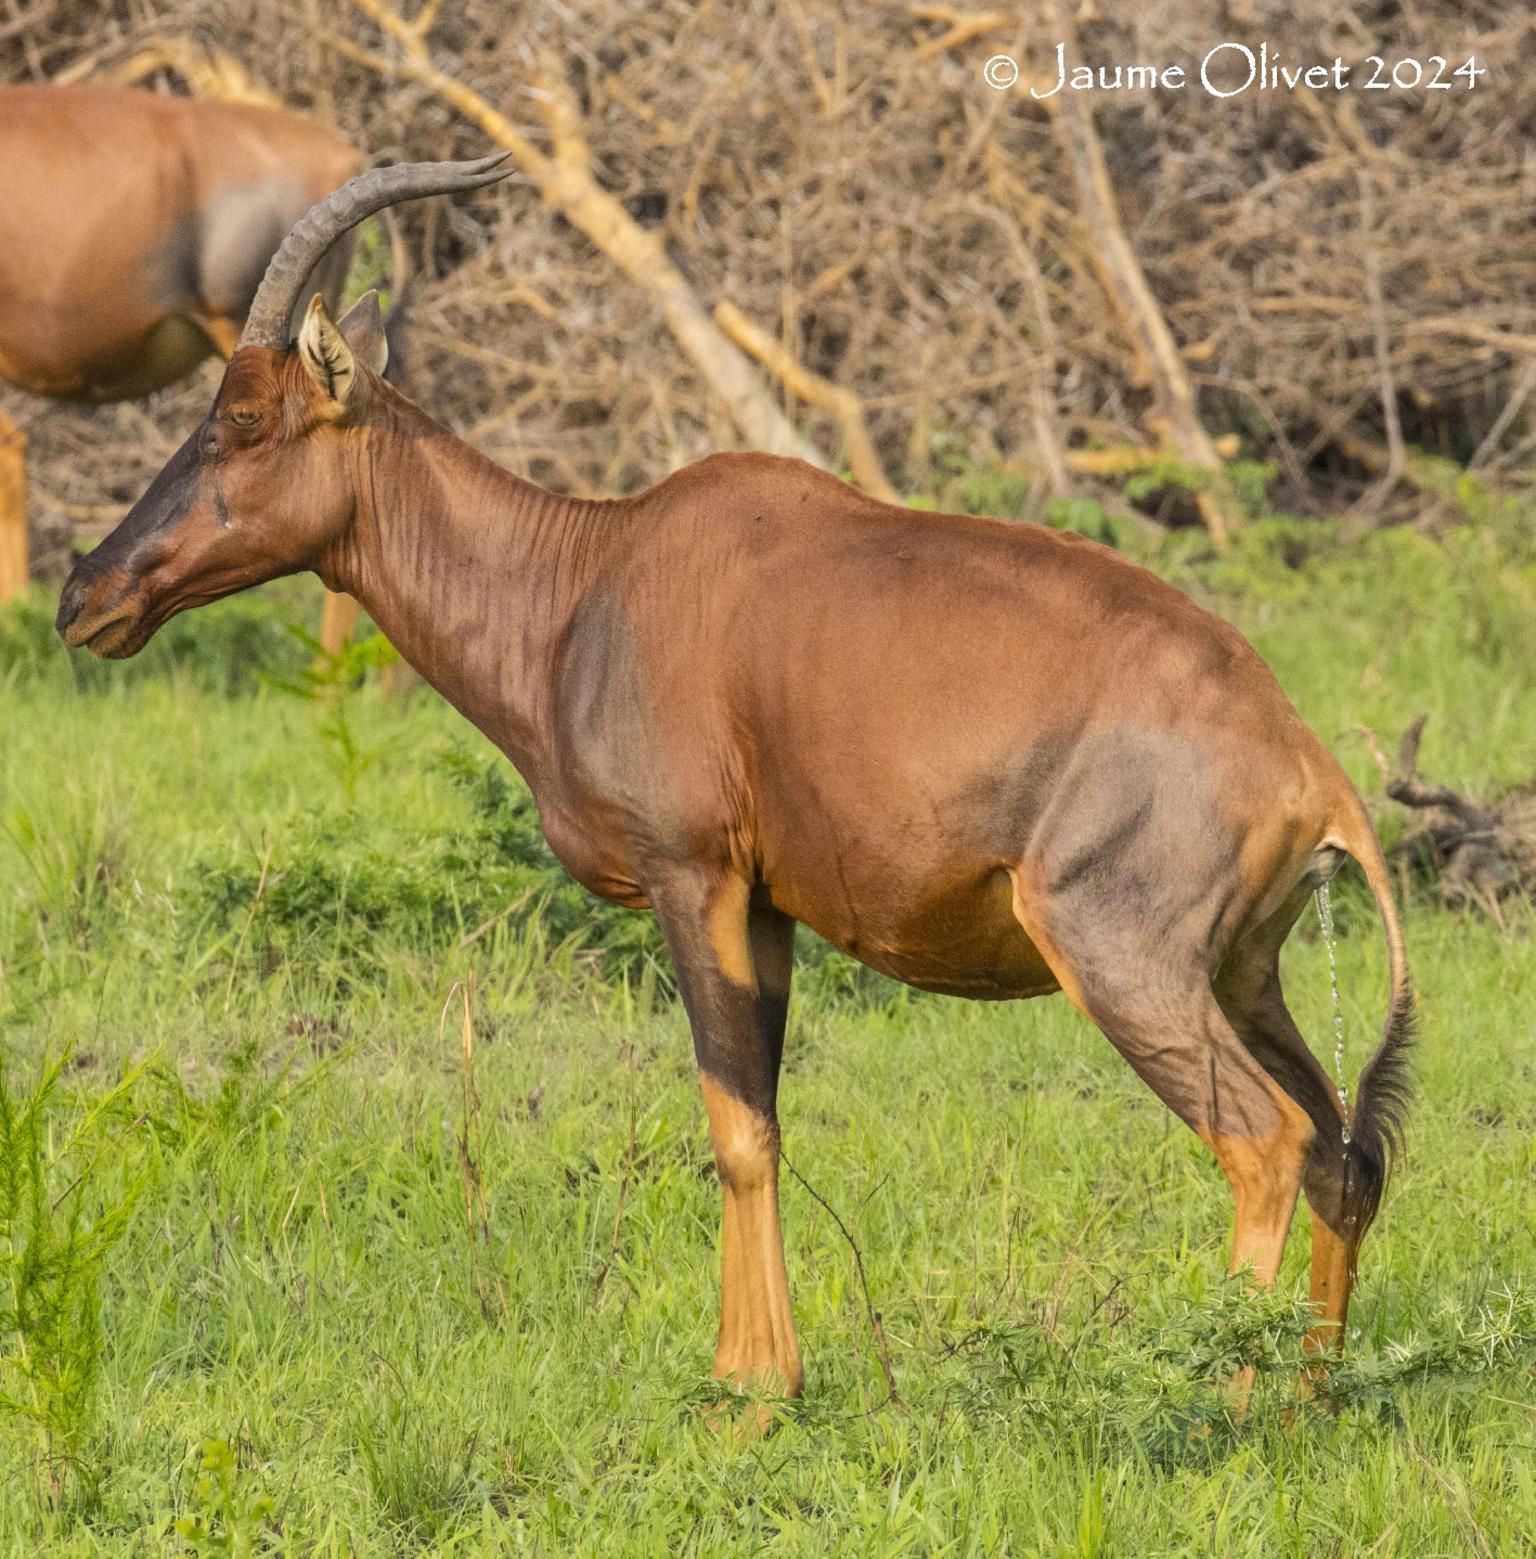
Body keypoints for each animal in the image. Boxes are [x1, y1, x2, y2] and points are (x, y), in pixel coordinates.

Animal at [53, 155, 1409, 1415]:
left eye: (241, 417)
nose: (85, 591)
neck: (591, 577)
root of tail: (1308, 763)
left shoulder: (691, 875)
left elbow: (733, 1126)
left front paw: (750, 1393)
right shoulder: (767, 903)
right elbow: (763, 1114)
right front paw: (761, 1374)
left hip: (1122, 960)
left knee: (1267, 1141)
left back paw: (1223, 1398)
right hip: (1244, 971)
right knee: (1346, 1149)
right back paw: (1307, 1397)